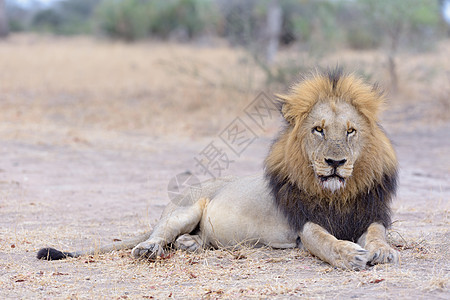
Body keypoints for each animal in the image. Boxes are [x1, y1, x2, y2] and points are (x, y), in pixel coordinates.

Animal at [37, 69, 398, 270]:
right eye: (318, 130)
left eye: (350, 131)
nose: (335, 163)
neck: (338, 195)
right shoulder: (303, 225)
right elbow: (324, 241)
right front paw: (350, 255)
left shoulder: (371, 214)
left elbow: (377, 235)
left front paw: (383, 252)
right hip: (184, 209)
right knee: (159, 234)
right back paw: (149, 249)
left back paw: (190, 244)